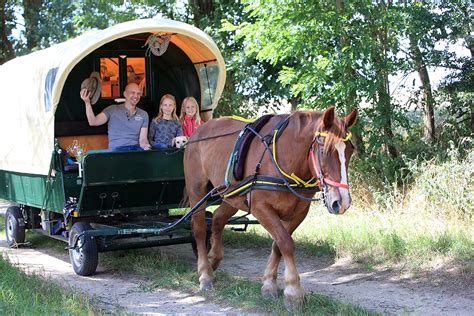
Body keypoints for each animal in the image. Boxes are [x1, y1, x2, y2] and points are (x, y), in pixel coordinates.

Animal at [183, 106, 358, 308]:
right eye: (325, 150)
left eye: (350, 151)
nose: (342, 202)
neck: (285, 156)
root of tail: (199, 132)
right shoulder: (261, 208)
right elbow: (285, 243)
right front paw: (293, 291)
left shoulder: (298, 212)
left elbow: (278, 245)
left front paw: (269, 285)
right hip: (197, 191)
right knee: (200, 229)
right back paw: (205, 273)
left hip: (232, 194)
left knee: (218, 220)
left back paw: (214, 259)